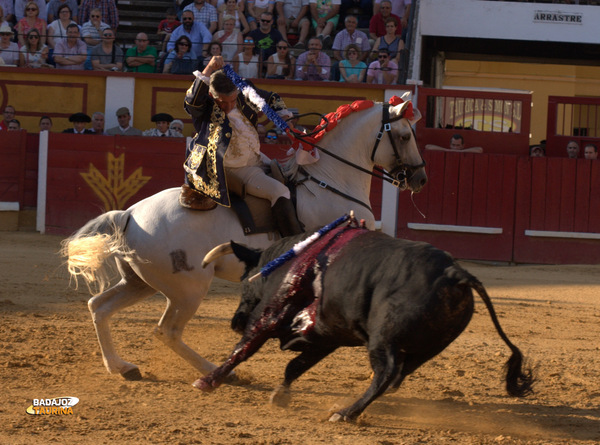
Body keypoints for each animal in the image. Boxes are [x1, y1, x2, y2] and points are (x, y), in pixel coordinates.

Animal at [62, 99, 426, 380]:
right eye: (405, 135)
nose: (420, 178)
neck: (330, 181)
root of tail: (130, 213)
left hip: (141, 282)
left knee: (99, 307)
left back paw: (122, 367)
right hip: (188, 289)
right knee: (167, 331)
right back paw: (220, 372)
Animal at [197, 227, 536, 422]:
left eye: (244, 281)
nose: (235, 321)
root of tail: (455, 273)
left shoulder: (270, 314)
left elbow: (244, 348)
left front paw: (208, 381)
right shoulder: (325, 338)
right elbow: (295, 366)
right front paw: (280, 396)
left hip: (382, 339)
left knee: (385, 373)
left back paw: (345, 413)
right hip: (426, 349)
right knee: (396, 375)